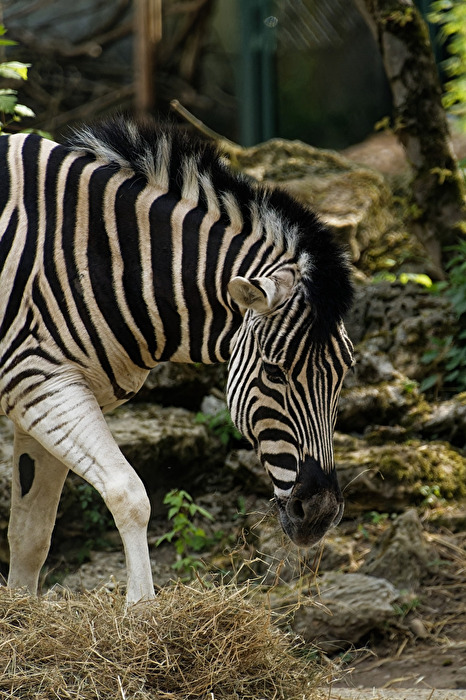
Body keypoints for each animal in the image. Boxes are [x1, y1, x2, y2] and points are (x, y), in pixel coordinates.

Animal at [0, 117, 354, 602]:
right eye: (274, 371)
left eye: (343, 374)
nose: (319, 514)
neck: (100, 258)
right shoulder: (41, 384)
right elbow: (129, 494)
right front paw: (141, 609)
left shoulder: (37, 397)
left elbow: (30, 534)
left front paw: (21, 611)